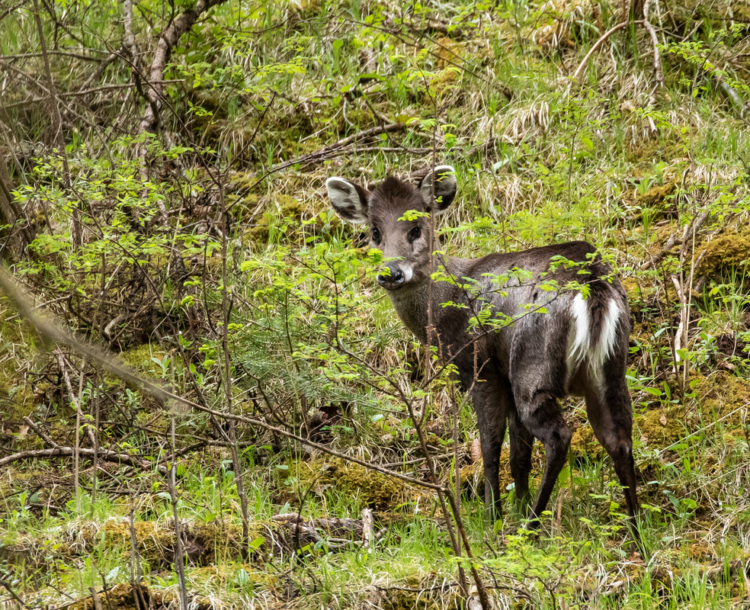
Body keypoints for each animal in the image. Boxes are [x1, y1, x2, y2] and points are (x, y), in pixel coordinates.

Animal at [328, 165, 640, 532]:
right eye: (374, 232)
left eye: (416, 228)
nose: (391, 273)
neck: (447, 303)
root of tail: (592, 285)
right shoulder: (503, 373)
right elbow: (519, 455)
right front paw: (515, 506)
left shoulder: (481, 367)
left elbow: (491, 446)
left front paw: (494, 517)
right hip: (610, 367)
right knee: (619, 437)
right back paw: (636, 528)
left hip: (532, 363)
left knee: (559, 435)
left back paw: (533, 524)